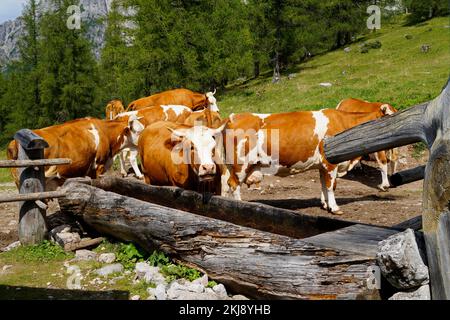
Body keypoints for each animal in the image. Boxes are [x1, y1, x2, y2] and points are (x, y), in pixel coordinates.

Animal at [223, 107, 392, 215]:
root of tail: (233, 117)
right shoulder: (330, 163)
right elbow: (331, 186)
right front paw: (334, 207)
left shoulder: (322, 166)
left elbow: (324, 184)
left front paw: (325, 204)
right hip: (241, 165)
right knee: (234, 185)